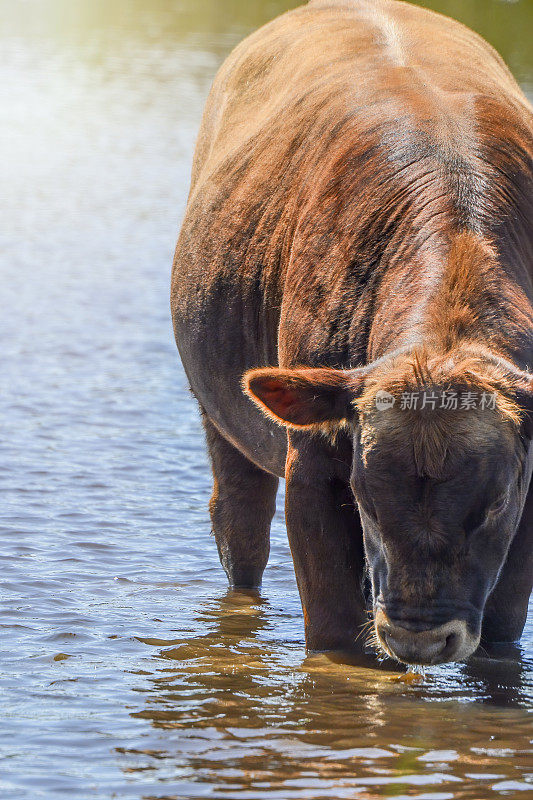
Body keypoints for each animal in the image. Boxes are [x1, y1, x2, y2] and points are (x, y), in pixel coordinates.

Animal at [171, 0, 532, 664]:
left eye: (495, 504)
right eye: (364, 495)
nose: (420, 637)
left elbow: (499, 635)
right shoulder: (313, 468)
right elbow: (337, 639)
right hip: (219, 418)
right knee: (239, 525)